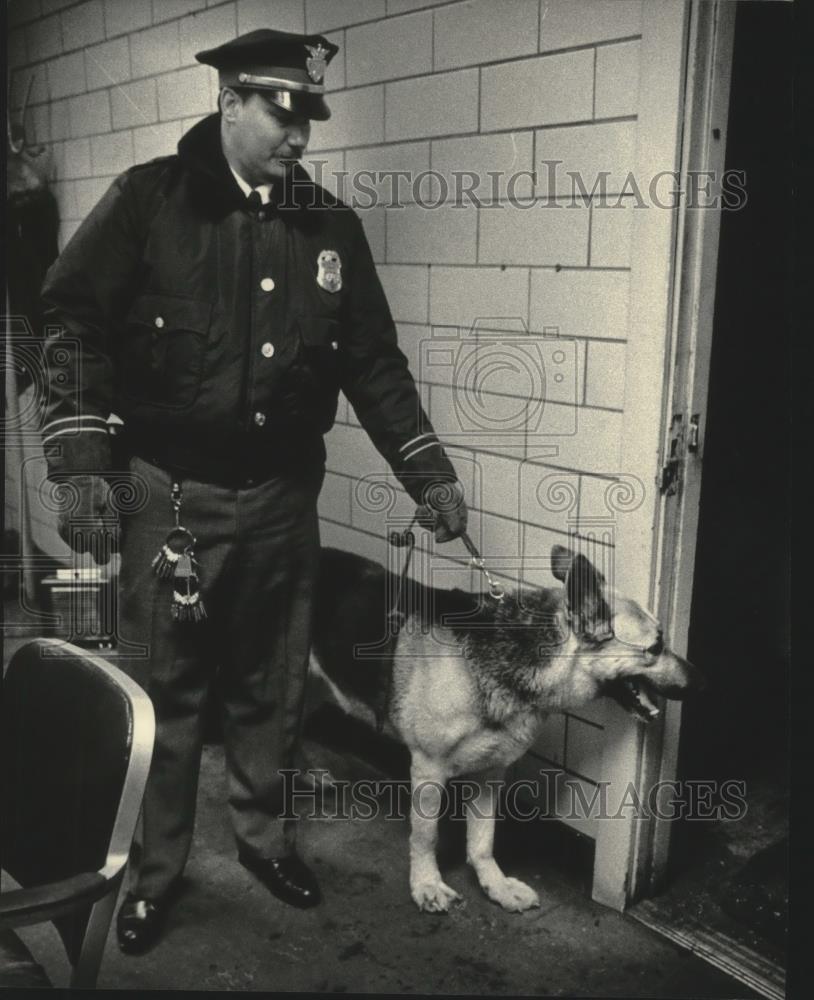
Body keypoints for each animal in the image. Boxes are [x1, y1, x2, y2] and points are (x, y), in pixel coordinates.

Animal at [310, 544, 704, 912]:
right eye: (656, 646)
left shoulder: (490, 772)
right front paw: (426, 884)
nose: (701, 681)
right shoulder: (427, 770)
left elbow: (483, 841)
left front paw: (495, 885)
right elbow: (425, 837)